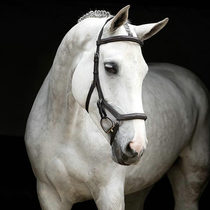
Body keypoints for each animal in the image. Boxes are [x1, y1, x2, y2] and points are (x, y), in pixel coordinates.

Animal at [25, 5, 210, 210]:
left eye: (144, 72)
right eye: (110, 67)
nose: (136, 146)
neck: (66, 133)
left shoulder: (110, 193)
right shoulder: (49, 195)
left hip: (193, 176)